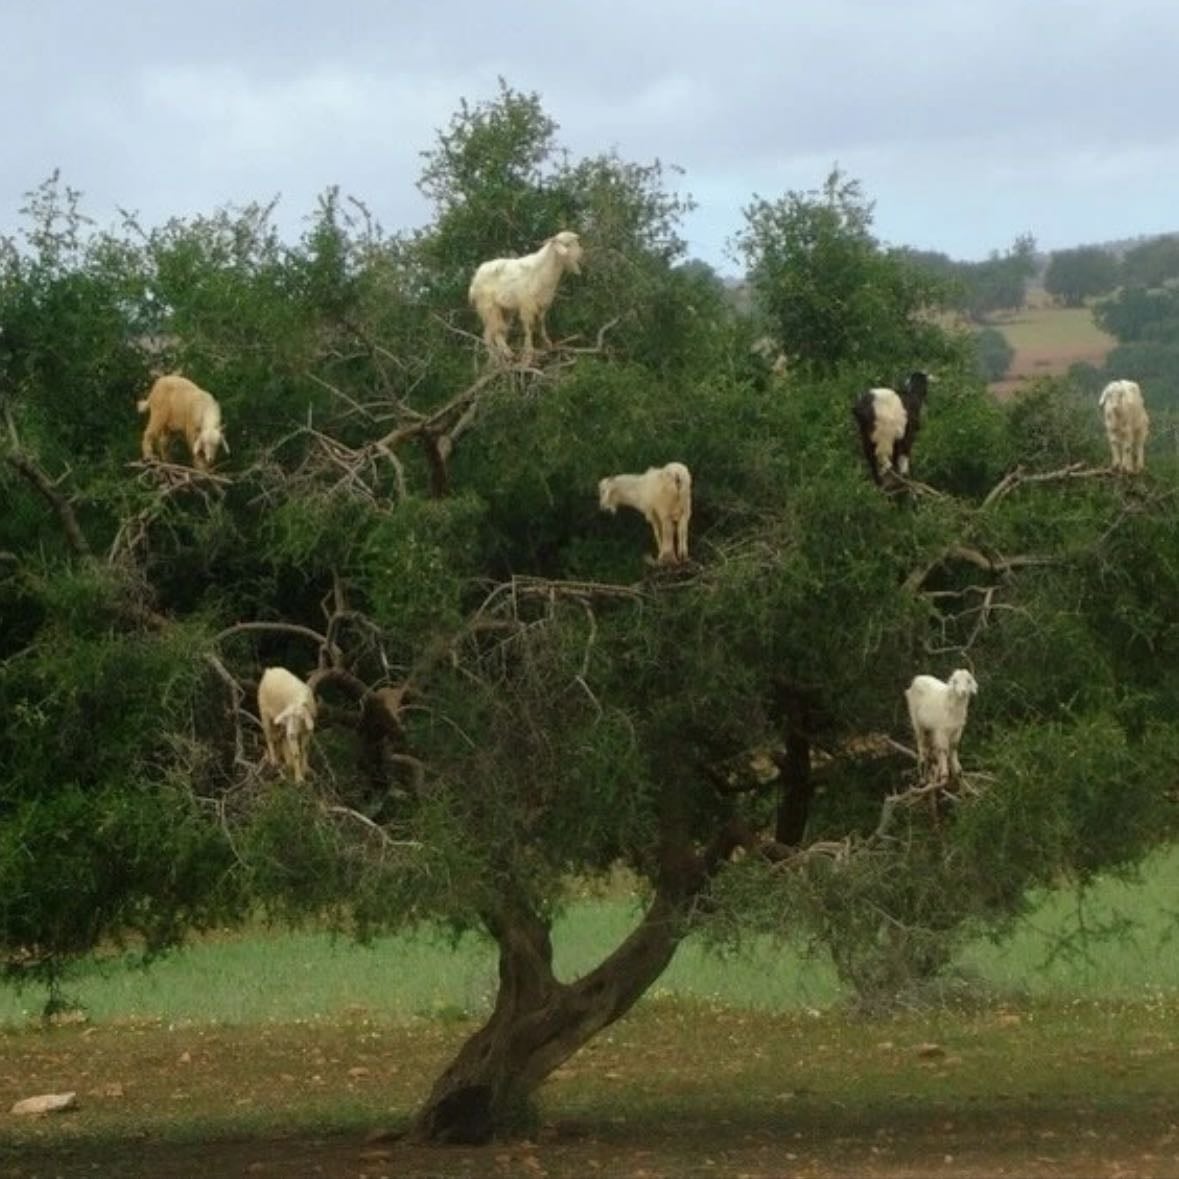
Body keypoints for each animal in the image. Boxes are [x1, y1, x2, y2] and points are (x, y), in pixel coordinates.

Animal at [468, 230, 583, 364]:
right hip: (489, 305)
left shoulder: (543, 303)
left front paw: (547, 343)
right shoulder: (527, 304)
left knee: (488, 333)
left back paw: (495, 359)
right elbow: (529, 327)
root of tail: (475, 278)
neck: (544, 270)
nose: (581, 254)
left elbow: (541, 323)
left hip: (504, 309)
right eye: (567, 244)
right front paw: (529, 353)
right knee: (496, 331)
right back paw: (508, 353)